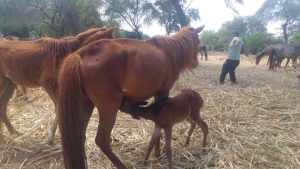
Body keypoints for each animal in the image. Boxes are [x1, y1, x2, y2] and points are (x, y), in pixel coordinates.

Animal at [57, 25, 205, 169]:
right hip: (109, 107)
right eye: (197, 41)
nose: (195, 63)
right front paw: (157, 153)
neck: (168, 53)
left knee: (79, 137)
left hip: (85, 105)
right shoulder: (163, 93)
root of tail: (79, 54)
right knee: (102, 140)